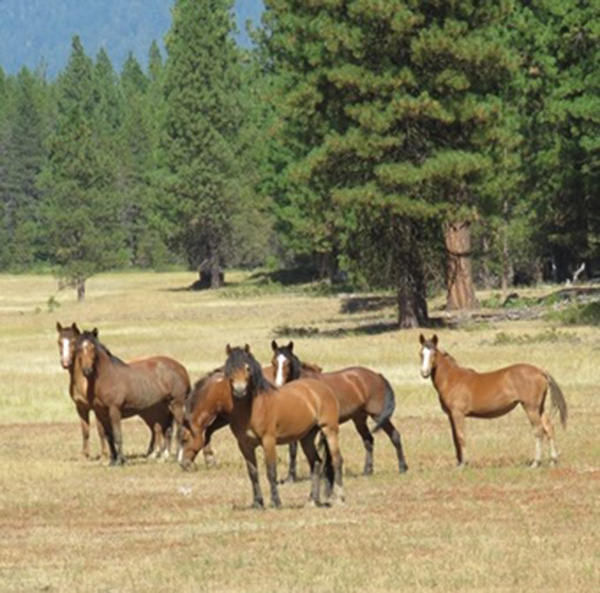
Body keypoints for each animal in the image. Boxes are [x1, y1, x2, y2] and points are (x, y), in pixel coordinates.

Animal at [73, 330, 190, 464]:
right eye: (78, 349)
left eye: (93, 348)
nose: (87, 370)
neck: (106, 377)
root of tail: (181, 369)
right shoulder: (101, 413)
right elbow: (109, 436)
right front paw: (112, 460)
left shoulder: (114, 410)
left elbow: (117, 435)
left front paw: (120, 460)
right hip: (166, 407)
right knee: (167, 429)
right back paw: (164, 457)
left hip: (177, 404)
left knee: (179, 429)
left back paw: (177, 457)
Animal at [223, 344, 344, 506]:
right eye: (229, 368)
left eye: (247, 368)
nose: (240, 390)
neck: (253, 408)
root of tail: (322, 388)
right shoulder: (244, 445)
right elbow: (253, 473)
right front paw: (257, 503)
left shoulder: (268, 441)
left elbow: (271, 471)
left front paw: (276, 502)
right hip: (307, 438)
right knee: (316, 463)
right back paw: (312, 500)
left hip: (329, 430)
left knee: (337, 460)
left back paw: (340, 498)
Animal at [270, 338, 408, 476]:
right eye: (273, 362)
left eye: (287, 362)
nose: (278, 385)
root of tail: (377, 375)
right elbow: (293, 450)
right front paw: (291, 477)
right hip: (359, 419)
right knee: (369, 441)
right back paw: (367, 470)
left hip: (378, 415)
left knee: (394, 436)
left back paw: (402, 468)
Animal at [418, 332, 568, 468]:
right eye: (421, 354)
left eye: (433, 353)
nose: (424, 372)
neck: (452, 379)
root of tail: (540, 371)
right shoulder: (451, 415)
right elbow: (455, 439)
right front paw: (459, 463)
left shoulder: (458, 414)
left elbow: (461, 437)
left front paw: (463, 464)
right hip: (539, 408)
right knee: (549, 428)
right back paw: (553, 460)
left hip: (530, 408)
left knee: (538, 430)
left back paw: (535, 463)